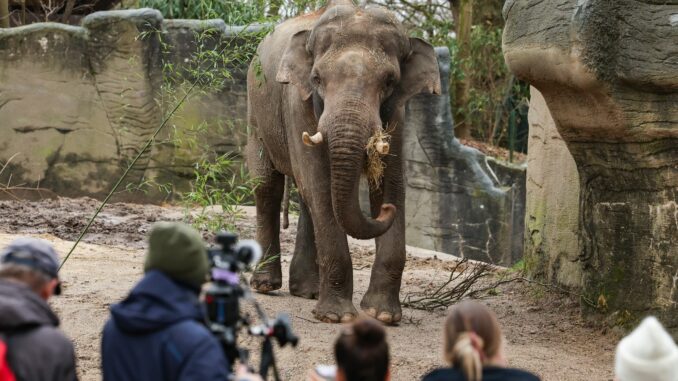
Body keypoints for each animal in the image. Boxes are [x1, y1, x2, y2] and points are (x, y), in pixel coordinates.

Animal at [247, 0, 444, 324]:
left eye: (389, 81)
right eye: (316, 79)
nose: (386, 213)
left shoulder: (398, 112)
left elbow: (390, 184)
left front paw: (382, 315)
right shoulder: (297, 102)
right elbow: (318, 182)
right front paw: (335, 317)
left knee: (305, 199)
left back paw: (307, 291)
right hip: (256, 112)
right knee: (267, 188)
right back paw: (265, 285)